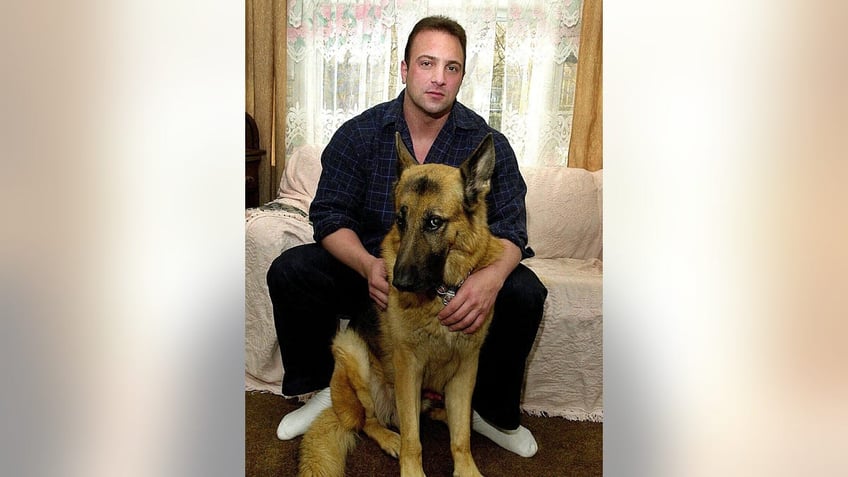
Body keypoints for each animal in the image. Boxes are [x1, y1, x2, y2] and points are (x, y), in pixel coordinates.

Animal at [296, 131, 500, 476]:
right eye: (400, 220)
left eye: (433, 222)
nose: (399, 283)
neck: (442, 294)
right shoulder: (409, 369)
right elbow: (413, 439)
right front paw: (412, 469)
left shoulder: (466, 370)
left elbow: (461, 437)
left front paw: (466, 468)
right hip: (353, 352)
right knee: (368, 422)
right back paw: (389, 436)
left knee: (445, 417)